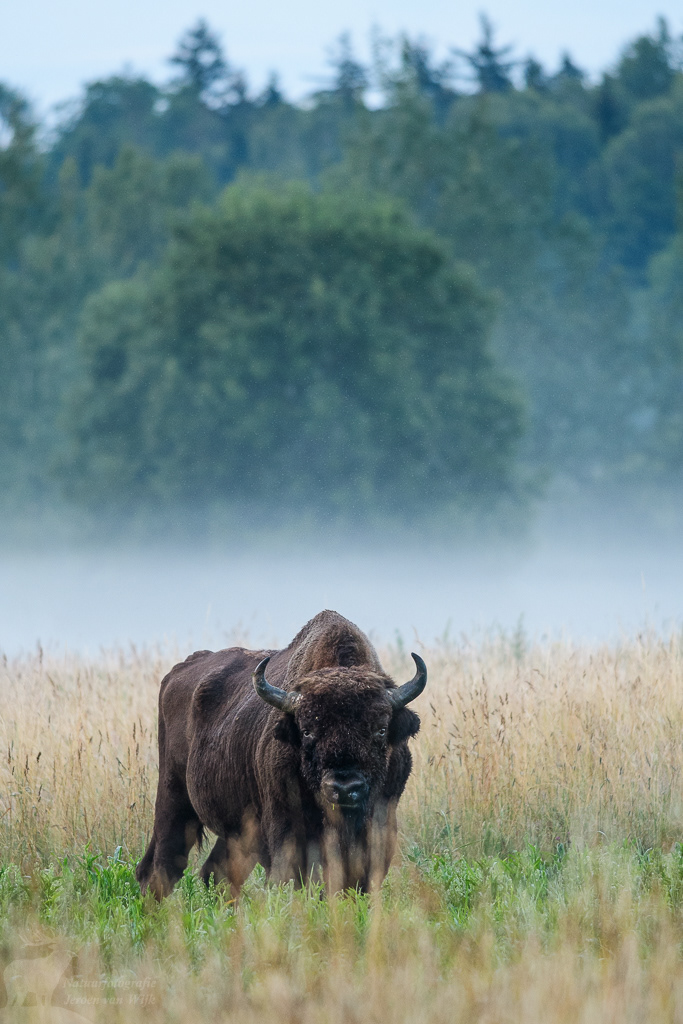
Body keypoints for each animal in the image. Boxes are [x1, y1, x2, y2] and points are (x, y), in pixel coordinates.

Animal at [136, 609, 427, 898]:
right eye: (307, 730)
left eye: (381, 729)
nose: (344, 788)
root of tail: (176, 673)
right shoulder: (286, 830)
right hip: (173, 798)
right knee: (161, 866)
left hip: (237, 831)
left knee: (218, 873)